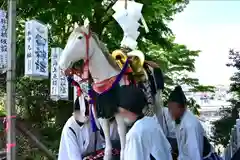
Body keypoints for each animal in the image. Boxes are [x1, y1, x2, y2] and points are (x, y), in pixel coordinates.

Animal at [57, 24, 165, 160]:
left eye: (80, 38)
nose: (61, 64)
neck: (107, 78)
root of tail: (153, 64)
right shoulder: (102, 112)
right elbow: (107, 139)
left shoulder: (120, 113)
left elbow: (122, 138)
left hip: (158, 100)